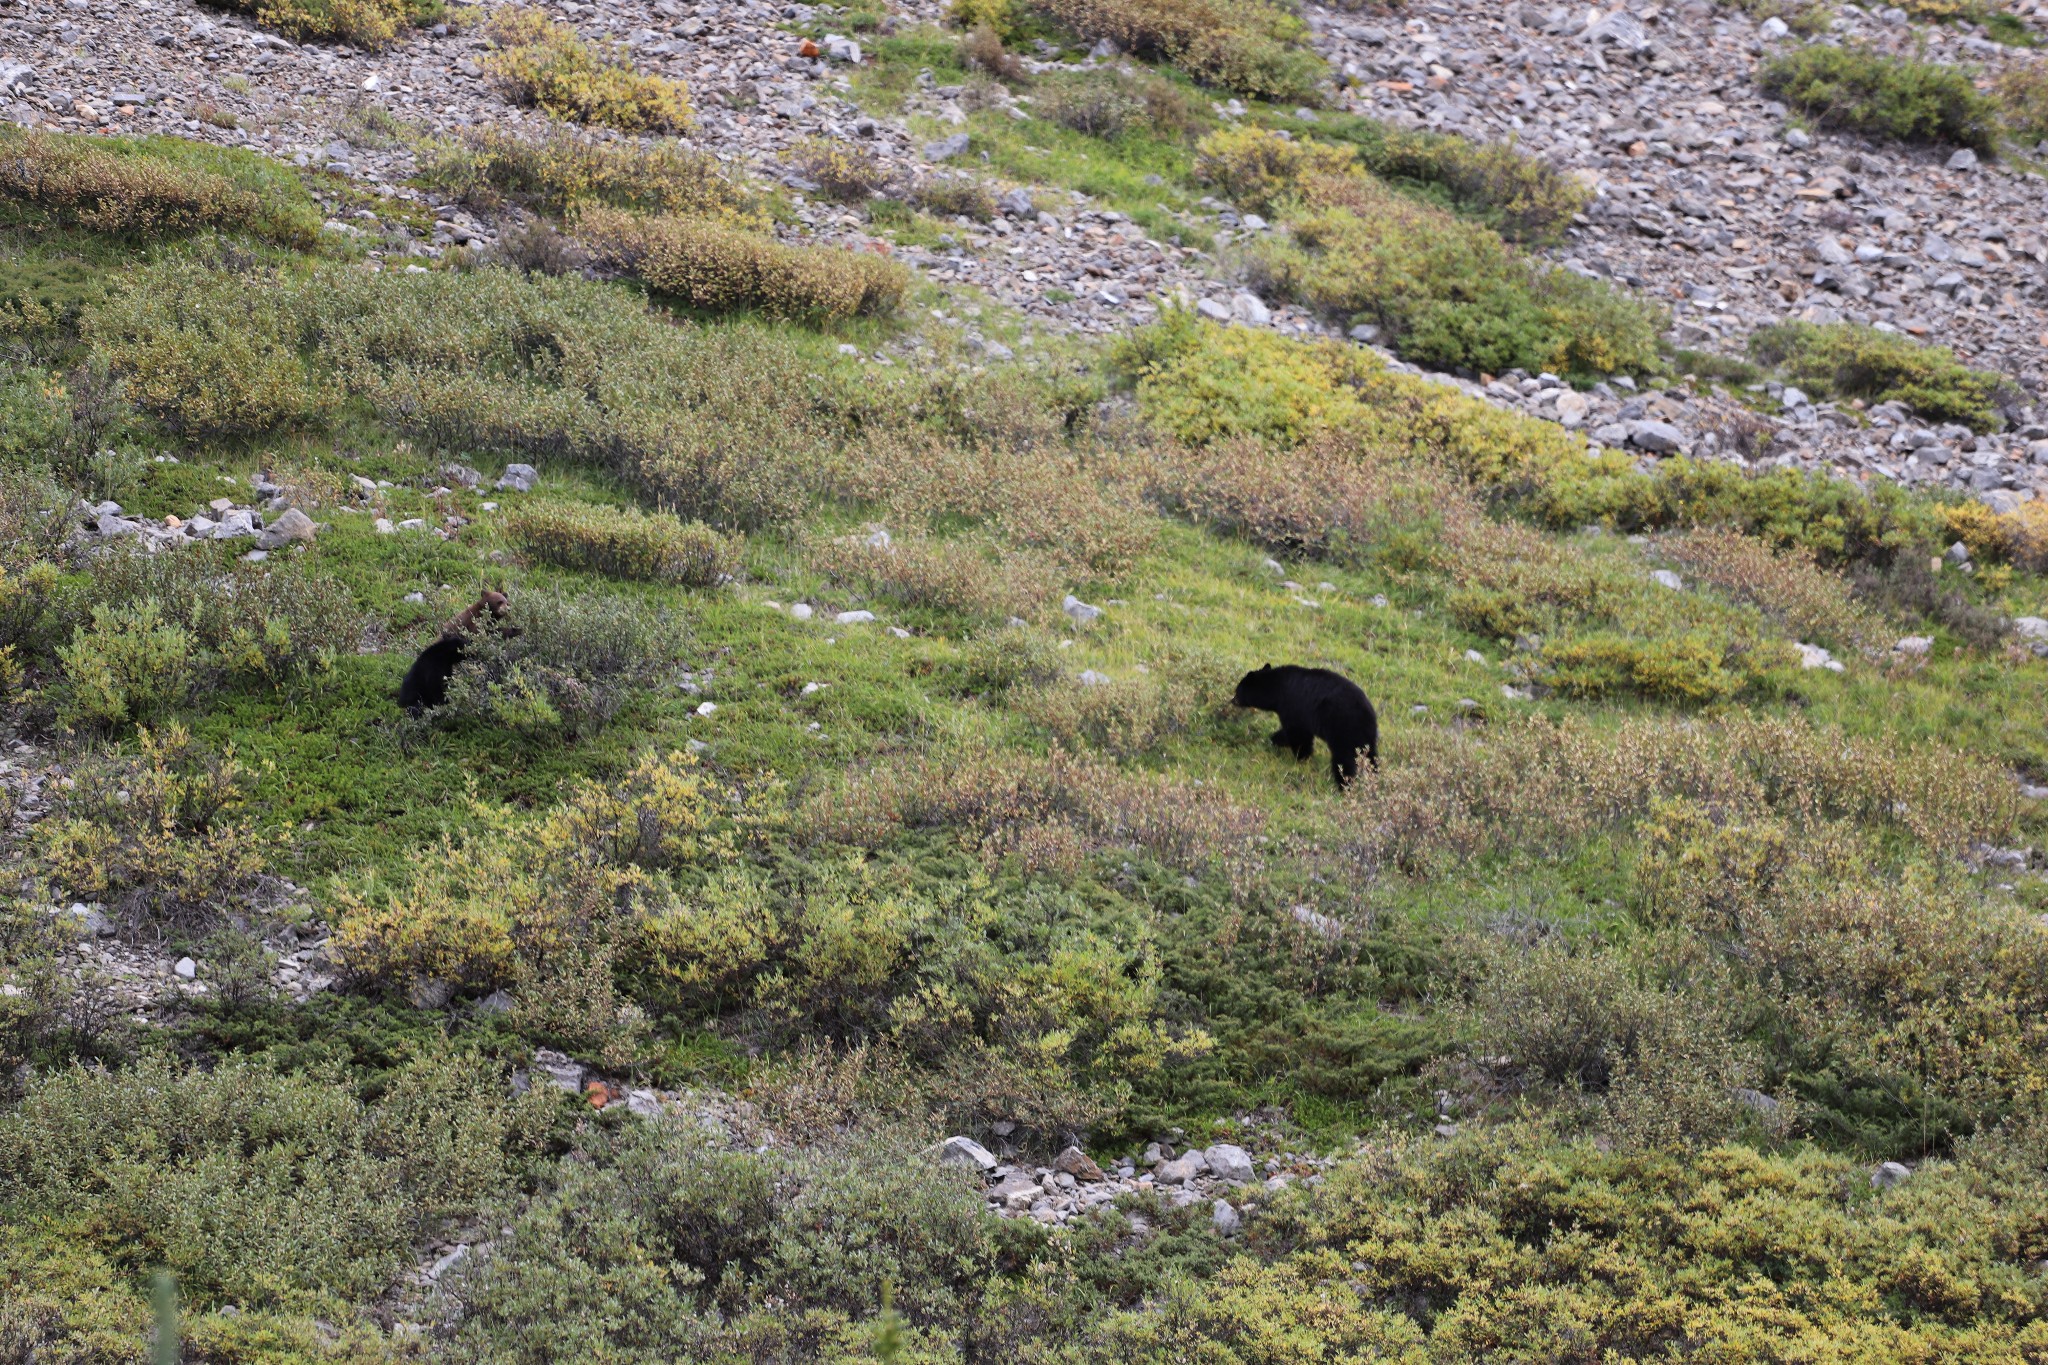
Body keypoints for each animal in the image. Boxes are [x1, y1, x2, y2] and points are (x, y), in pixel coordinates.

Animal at [1228, 663, 1376, 789]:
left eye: (1238, 691)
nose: (1232, 700)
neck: (1278, 688)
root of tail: (1366, 713)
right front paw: (1275, 739)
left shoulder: (1293, 705)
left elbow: (1298, 733)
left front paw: (1300, 757)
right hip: (1365, 736)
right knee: (1371, 755)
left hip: (1342, 728)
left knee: (1344, 758)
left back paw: (1343, 784)